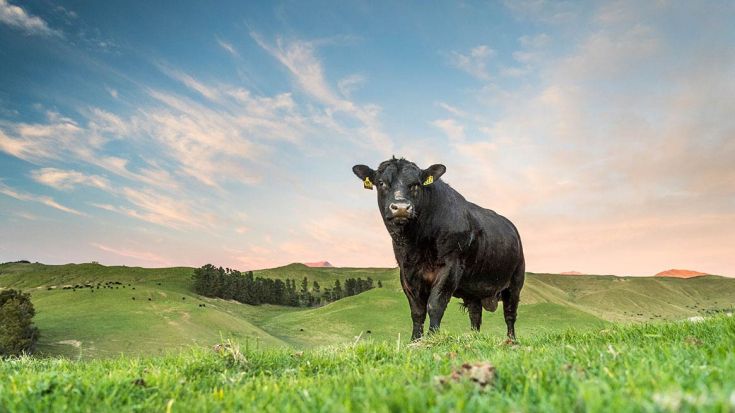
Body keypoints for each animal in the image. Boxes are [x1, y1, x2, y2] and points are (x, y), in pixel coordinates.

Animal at [354, 156, 528, 340]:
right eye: (381, 183)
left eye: (416, 184)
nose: (401, 207)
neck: (415, 243)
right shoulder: (407, 273)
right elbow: (417, 311)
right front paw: (415, 340)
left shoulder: (450, 266)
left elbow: (435, 305)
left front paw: (432, 338)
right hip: (474, 287)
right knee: (475, 314)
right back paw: (474, 338)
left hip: (515, 281)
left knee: (510, 313)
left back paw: (511, 340)